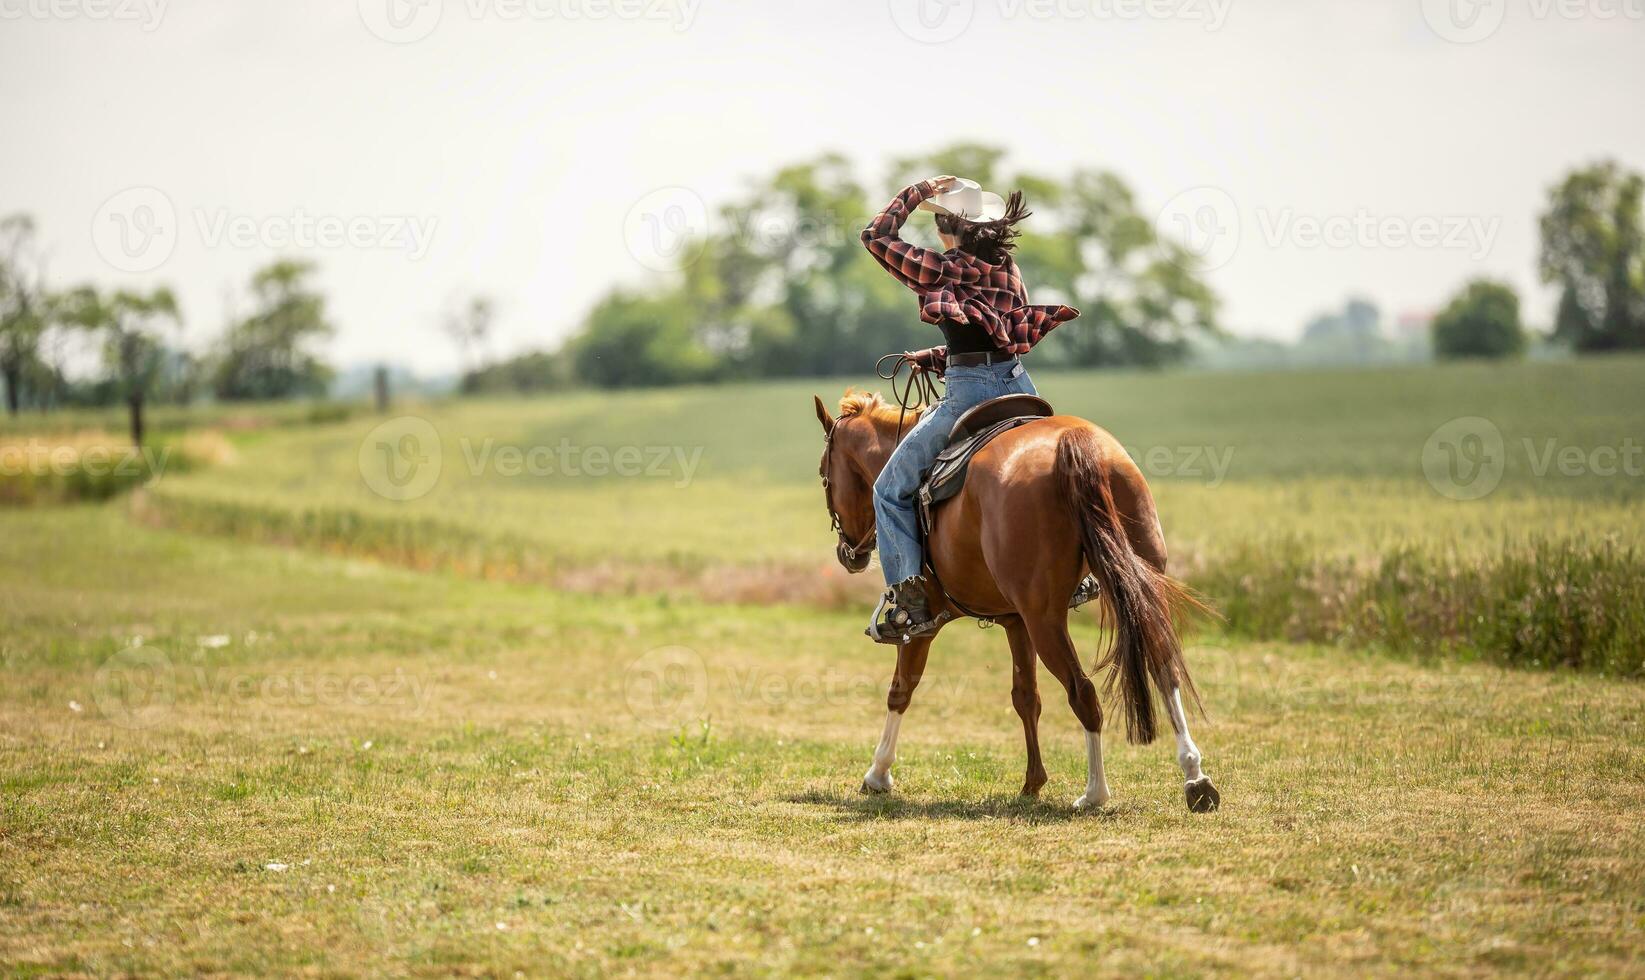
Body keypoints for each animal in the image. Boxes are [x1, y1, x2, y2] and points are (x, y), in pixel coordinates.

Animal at [812, 388, 1223, 812]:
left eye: (825, 476)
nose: (848, 554)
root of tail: (1077, 445)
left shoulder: (924, 626)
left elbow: (901, 689)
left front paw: (877, 774)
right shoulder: (1015, 620)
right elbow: (1026, 696)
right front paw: (1033, 782)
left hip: (1046, 620)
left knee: (1084, 693)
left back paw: (1094, 793)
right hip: (1136, 590)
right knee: (1164, 669)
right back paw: (1195, 777)